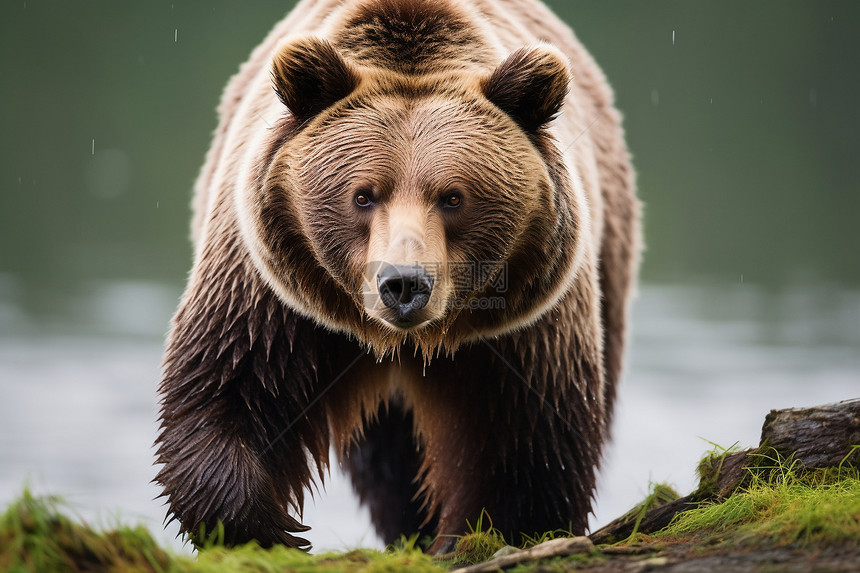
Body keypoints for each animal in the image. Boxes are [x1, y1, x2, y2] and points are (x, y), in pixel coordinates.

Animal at [153, 0, 640, 552]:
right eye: (363, 195)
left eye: (453, 197)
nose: (404, 284)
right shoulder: (270, 291)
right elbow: (227, 386)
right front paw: (274, 527)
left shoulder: (524, 324)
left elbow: (528, 439)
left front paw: (489, 534)